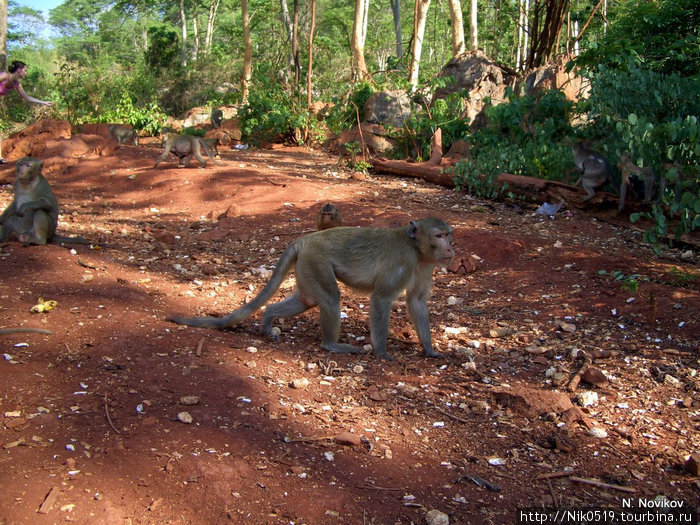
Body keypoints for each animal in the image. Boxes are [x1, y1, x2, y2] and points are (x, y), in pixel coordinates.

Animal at [169, 215, 454, 358]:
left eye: (448, 235)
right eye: (438, 236)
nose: (450, 248)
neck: (416, 249)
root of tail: (304, 240)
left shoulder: (424, 266)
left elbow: (416, 301)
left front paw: (429, 350)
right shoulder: (404, 261)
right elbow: (381, 299)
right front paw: (382, 352)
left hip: (306, 265)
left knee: (307, 300)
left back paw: (268, 318)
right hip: (316, 260)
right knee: (329, 299)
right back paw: (331, 344)